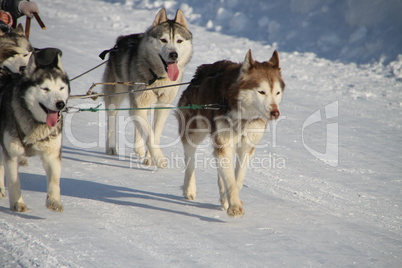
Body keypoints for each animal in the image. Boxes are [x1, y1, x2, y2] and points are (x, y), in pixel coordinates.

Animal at [0, 47, 70, 211]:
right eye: (45, 89)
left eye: (61, 88)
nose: (60, 104)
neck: (35, 122)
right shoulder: (12, 154)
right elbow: (14, 180)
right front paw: (18, 203)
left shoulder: (52, 154)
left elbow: (54, 180)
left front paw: (53, 200)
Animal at [103, 8, 192, 168]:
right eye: (163, 40)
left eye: (179, 41)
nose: (174, 54)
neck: (158, 77)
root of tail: (119, 41)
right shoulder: (139, 102)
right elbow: (149, 135)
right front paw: (159, 158)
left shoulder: (162, 106)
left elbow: (154, 133)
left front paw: (150, 158)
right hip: (116, 94)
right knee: (112, 116)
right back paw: (112, 147)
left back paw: (139, 148)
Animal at [177, 50, 286, 217]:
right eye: (261, 91)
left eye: (277, 92)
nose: (275, 113)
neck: (243, 116)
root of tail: (200, 71)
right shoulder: (224, 143)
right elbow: (230, 180)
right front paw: (234, 206)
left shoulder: (246, 147)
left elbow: (237, 178)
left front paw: (228, 199)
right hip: (194, 130)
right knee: (190, 159)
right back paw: (190, 188)